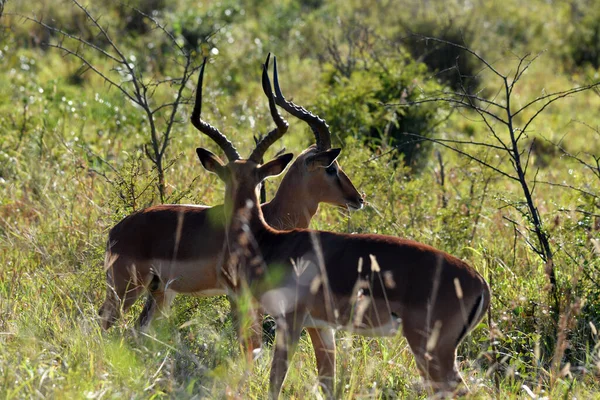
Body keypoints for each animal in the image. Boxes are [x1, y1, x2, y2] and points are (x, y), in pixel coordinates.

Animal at [96, 54, 364, 366]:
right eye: (332, 168)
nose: (358, 198)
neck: (270, 219)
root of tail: (116, 231)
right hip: (126, 289)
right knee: (103, 322)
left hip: (159, 291)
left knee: (140, 330)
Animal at [195, 56, 490, 396]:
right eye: (332, 168)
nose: (358, 198)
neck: (269, 240)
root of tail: (481, 283)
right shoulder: (322, 327)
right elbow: (327, 381)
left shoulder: (290, 321)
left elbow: (276, 379)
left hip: (431, 349)